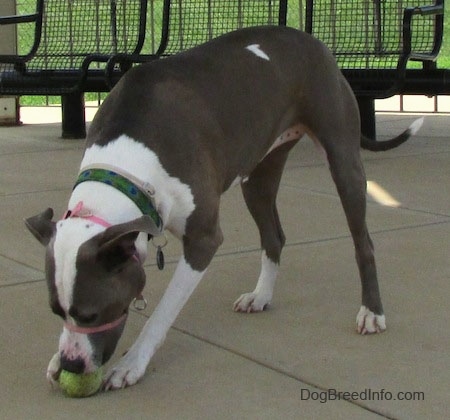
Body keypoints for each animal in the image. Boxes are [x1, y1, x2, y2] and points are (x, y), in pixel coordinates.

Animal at [25, 27, 422, 390]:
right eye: (57, 310)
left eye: (93, 314)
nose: (71, 365)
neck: (127, 169)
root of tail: (313, 41)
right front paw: (56, 358)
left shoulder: (203, 240)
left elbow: (162, 312)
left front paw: (132, 363)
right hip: (259, 175)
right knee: (274, 236)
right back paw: (261, 295)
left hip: (343, 159)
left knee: (363, 242)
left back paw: (372, 312)